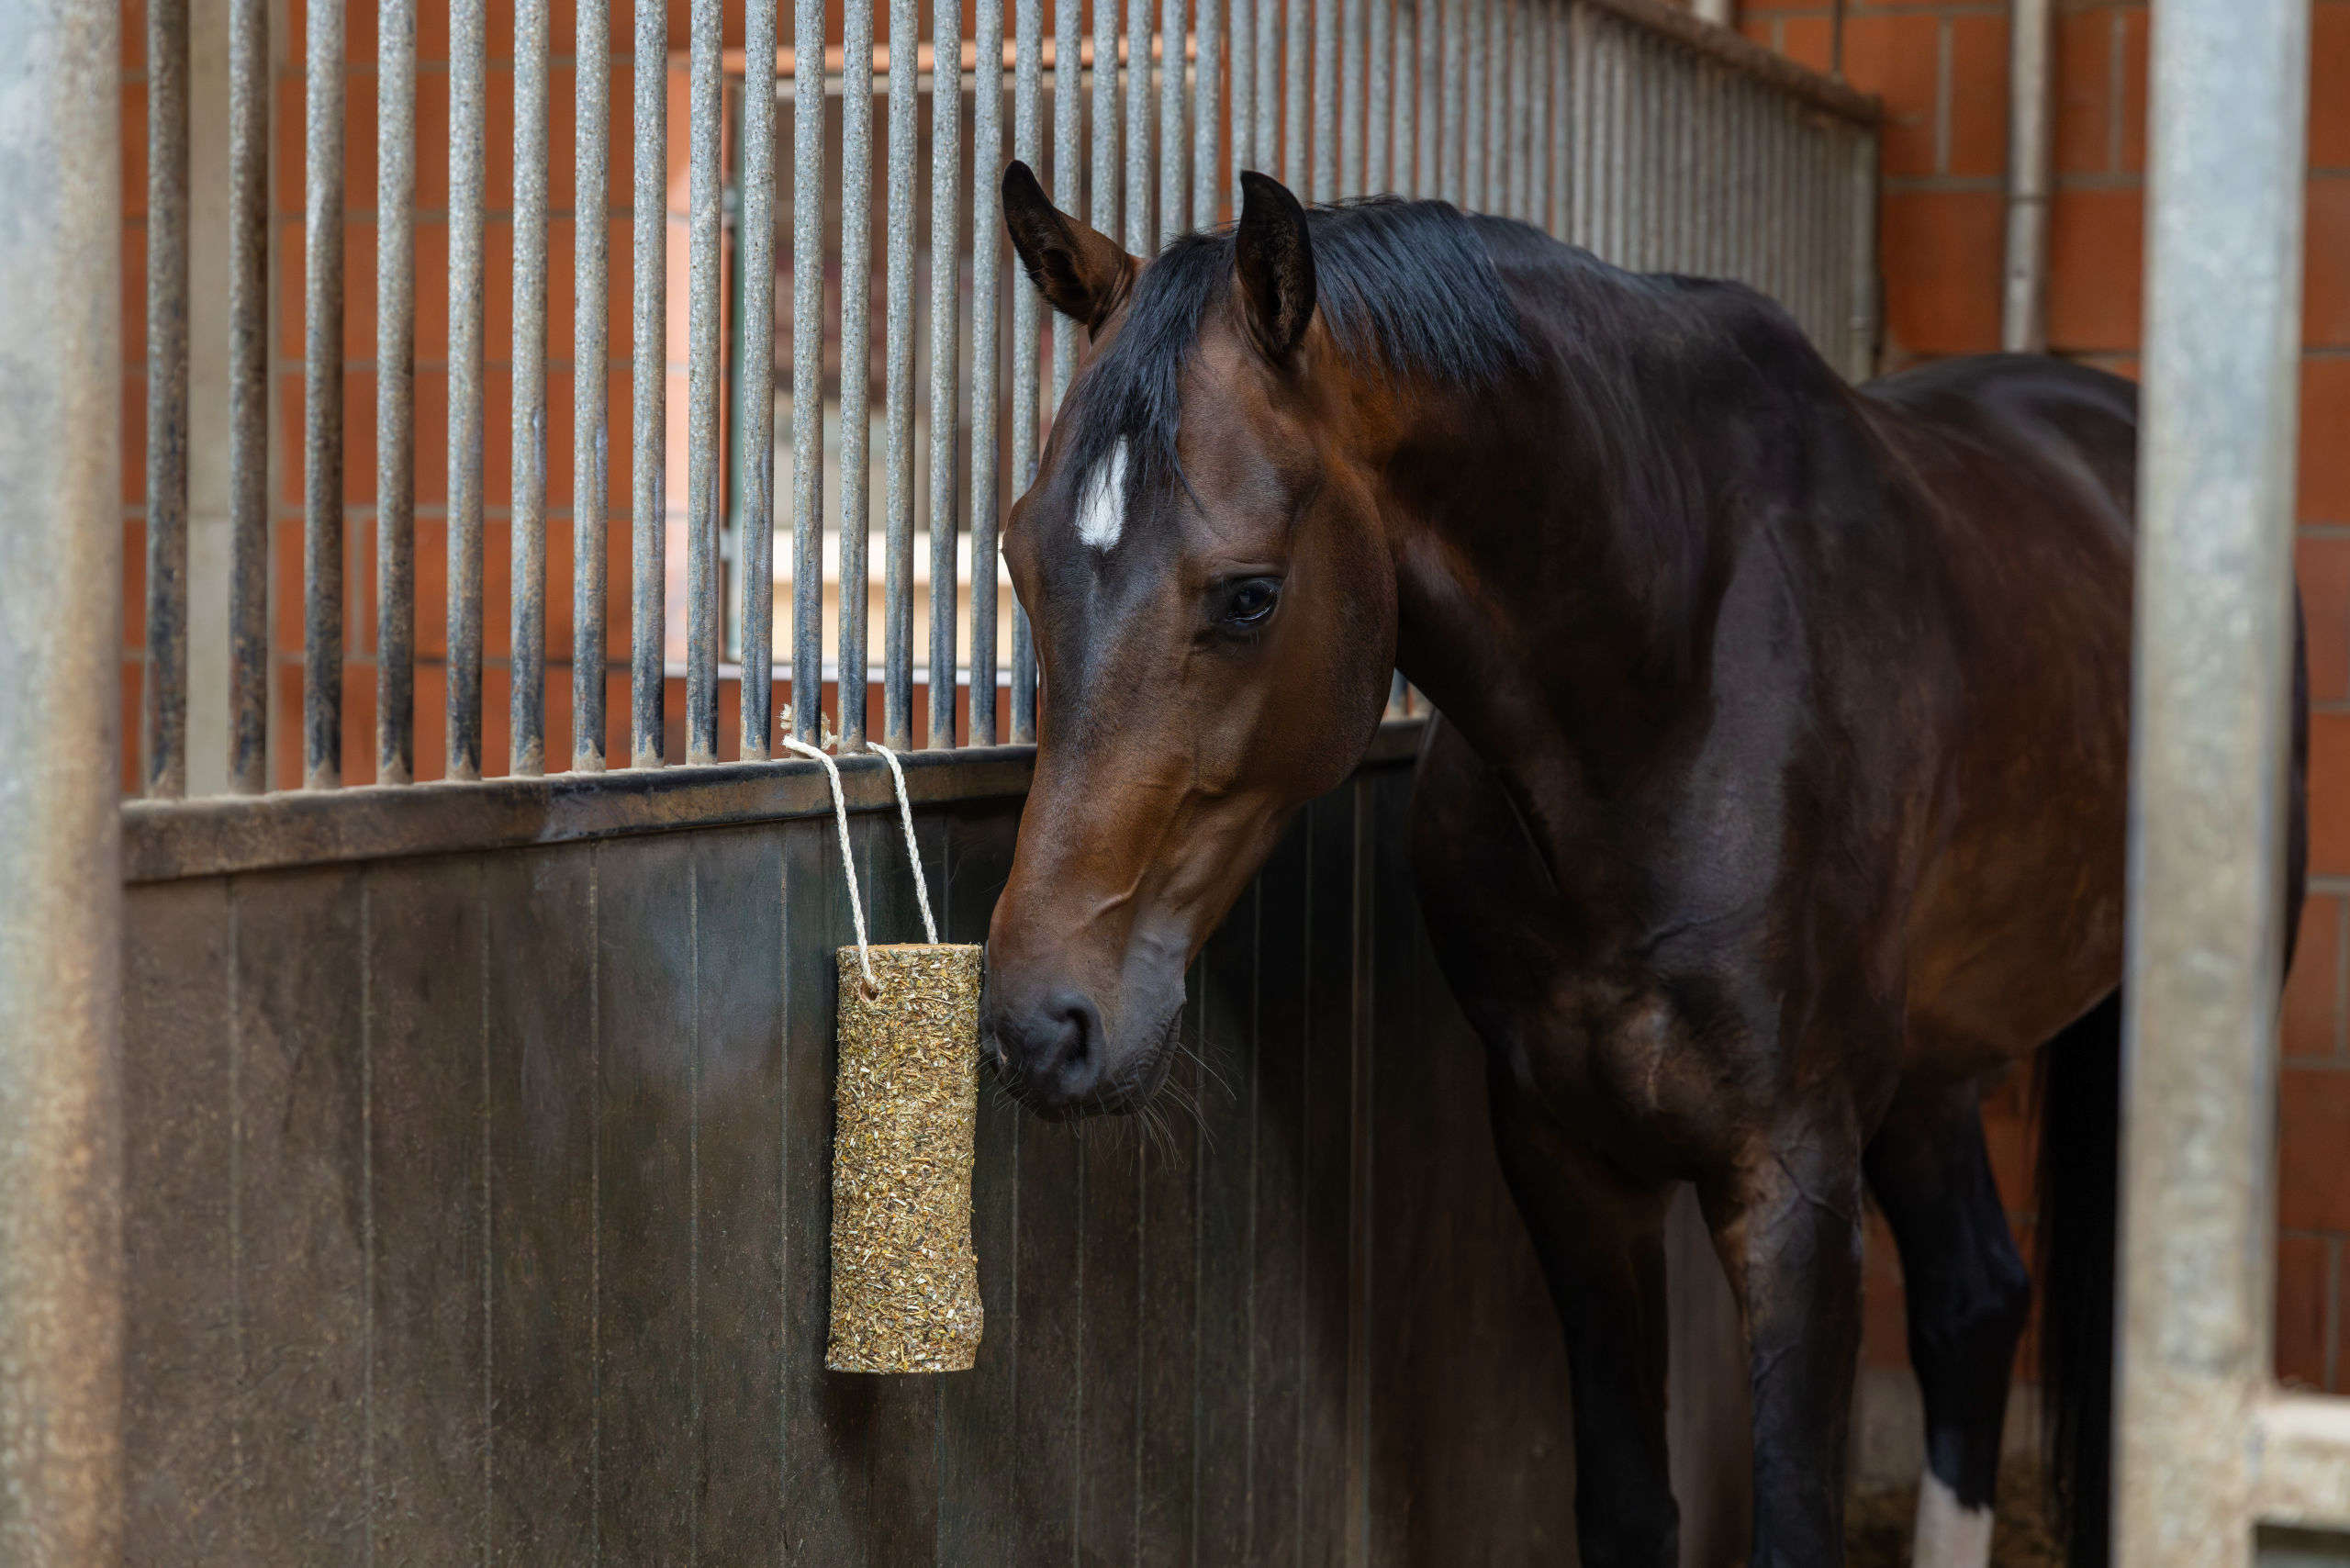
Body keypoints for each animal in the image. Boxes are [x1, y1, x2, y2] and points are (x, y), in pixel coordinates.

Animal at [979, 161, 2309, 1568]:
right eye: (1019, 557)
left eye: (1249, 595)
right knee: (1971, 1296)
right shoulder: (1568, 1161)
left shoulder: (1792, 1182)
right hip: (1931, 1068)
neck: (1659, 688)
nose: (1041, 1024)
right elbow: (1624, 1501)